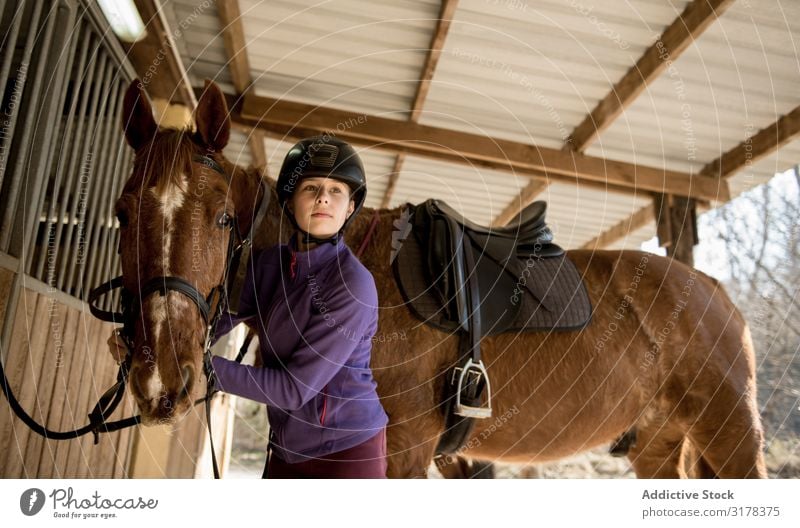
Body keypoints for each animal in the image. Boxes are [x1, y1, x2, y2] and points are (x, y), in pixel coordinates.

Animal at [117, 79, 764, 478]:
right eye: (123, 212)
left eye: (223, 217)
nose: (161, 377)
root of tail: (714, 291)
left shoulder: (404, 450)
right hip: (658, 444)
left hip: (728, 431)